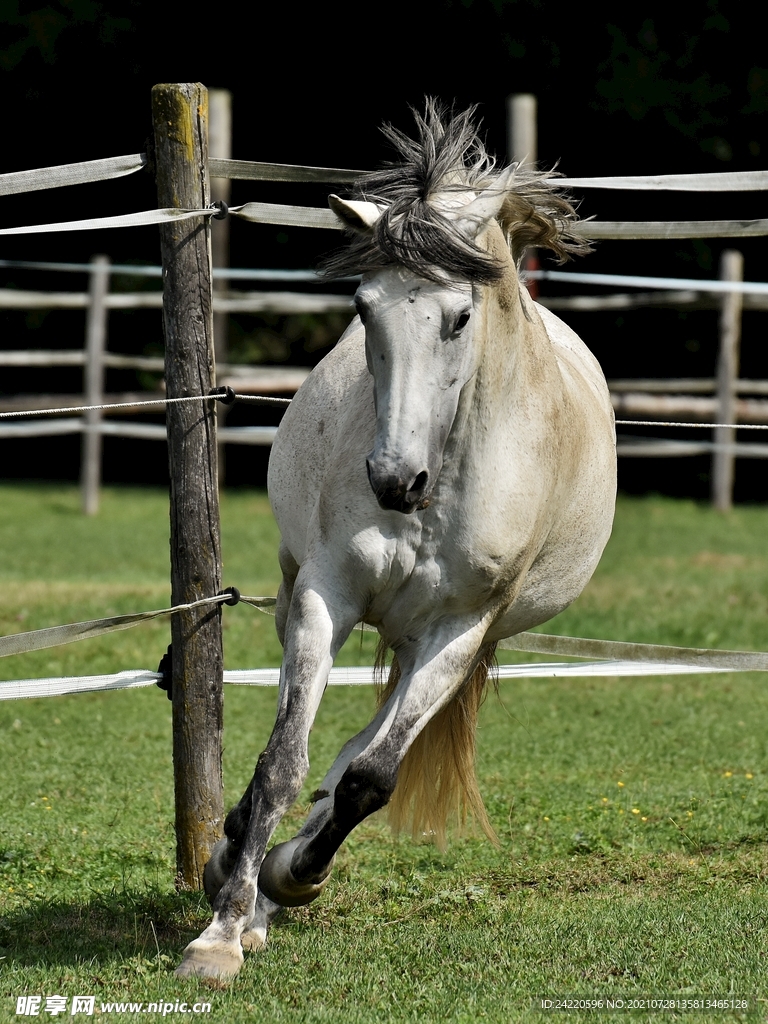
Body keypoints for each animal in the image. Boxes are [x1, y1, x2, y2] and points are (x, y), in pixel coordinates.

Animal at [176, 101, 616, 979]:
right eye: (362, 306)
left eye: (460, 315)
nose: (392, 479)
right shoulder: (325, 596)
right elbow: (282, 763)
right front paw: (221, 932)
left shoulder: (461, 629)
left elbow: (371, 777)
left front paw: (291, 877)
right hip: (303, 596)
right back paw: (244, 875)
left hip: (436, 646)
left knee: (361, 751)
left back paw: (280, 876)